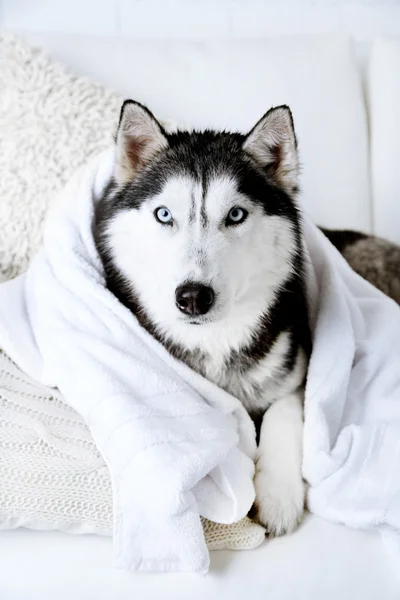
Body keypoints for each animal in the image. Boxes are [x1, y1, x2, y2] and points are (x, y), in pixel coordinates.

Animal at [95, 101, 310, 536]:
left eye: (236, 214)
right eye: (163, 214)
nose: (193, 297)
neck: (213, 342)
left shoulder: (297, 373)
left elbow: (282, 412)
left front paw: (279, 493)